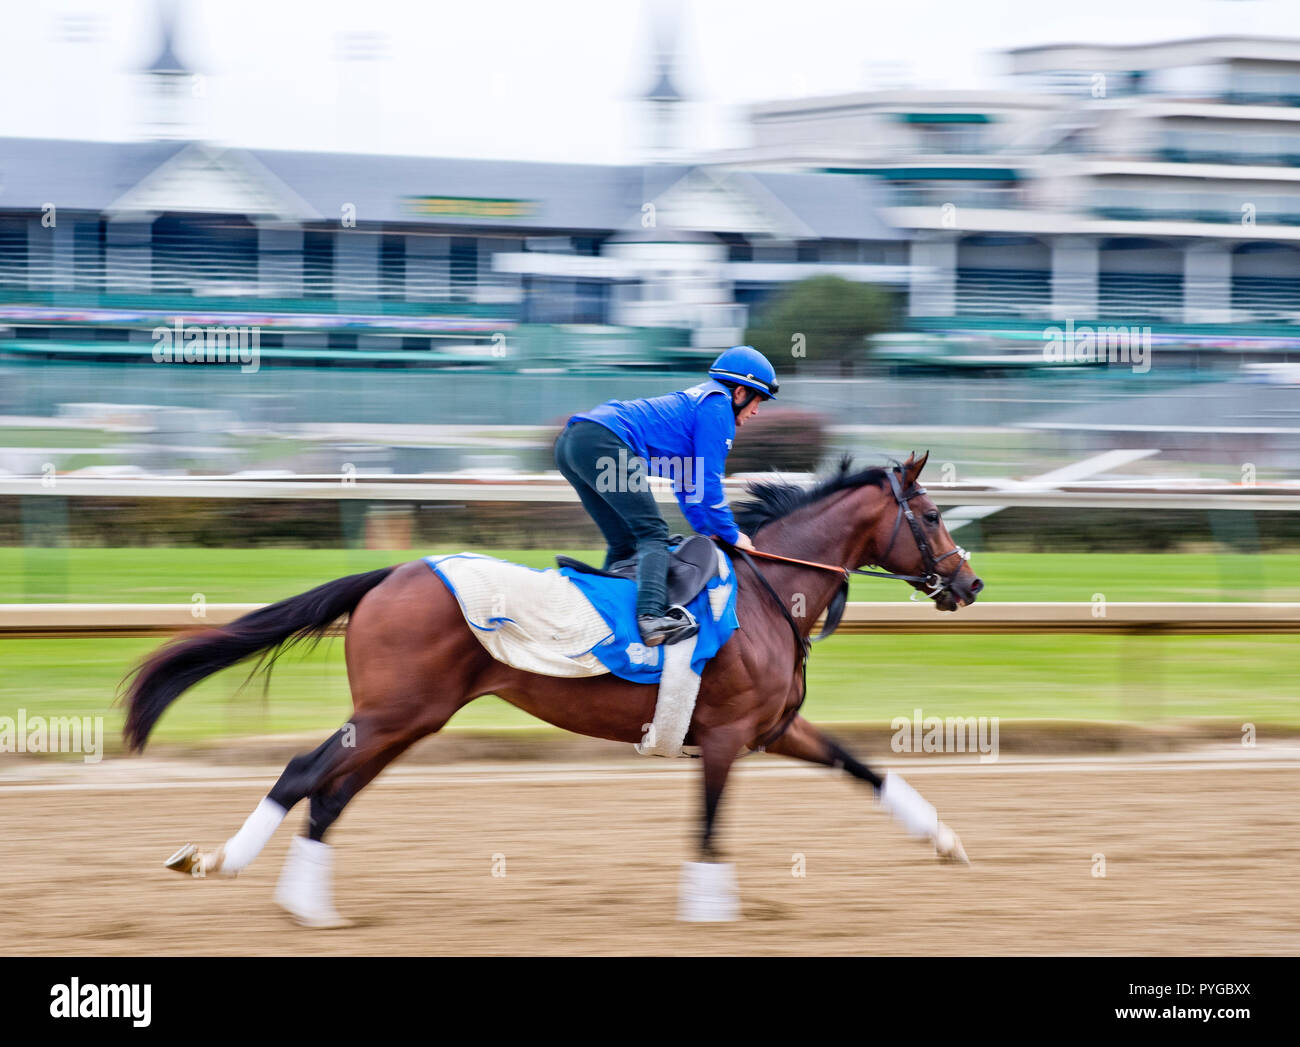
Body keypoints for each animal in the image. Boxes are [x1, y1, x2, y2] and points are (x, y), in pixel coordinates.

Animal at [124, 450, 982, 920]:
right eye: (934, 513)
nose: (971, 582)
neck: (771, 591)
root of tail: (389, 573)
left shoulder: (772, 729)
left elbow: (860, 764)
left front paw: (943, 836)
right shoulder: (726, 736)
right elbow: (708, 828)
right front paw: (709, 909)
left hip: (408, 719)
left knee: (332, 794)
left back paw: (310, 907)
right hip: (393, 710)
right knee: (306, 774)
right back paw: (221, 862)